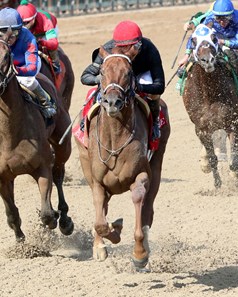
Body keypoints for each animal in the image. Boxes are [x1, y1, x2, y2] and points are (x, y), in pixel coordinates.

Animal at [0, 28, 73, 240]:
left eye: (6, 56)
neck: (9, 135)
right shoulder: (2, 177)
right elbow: (11, 213)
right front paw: (21, 241)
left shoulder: (42, 167)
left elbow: (47, 213)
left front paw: (54, 219)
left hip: (63, 143)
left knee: (58, 174)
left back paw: (64, 219)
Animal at [75, 45, 170, 270]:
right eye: (101, 72)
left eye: (128, 73)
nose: (112, 102)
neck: (115, 139)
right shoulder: (97, 180)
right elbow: (100, 220)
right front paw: (108, 237)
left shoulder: (142, 173)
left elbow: (138, 198)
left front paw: (140, 253)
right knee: (102, 207)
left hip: (158, 163)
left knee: (148, 207)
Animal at [182, 24, 238, 187]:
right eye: (193, 40)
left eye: (214, 37)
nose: (207, 60)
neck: (209, 94)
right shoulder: (201, 129)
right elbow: (213, 158)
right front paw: (217, 184)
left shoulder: (233, 122)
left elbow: (234, 160)